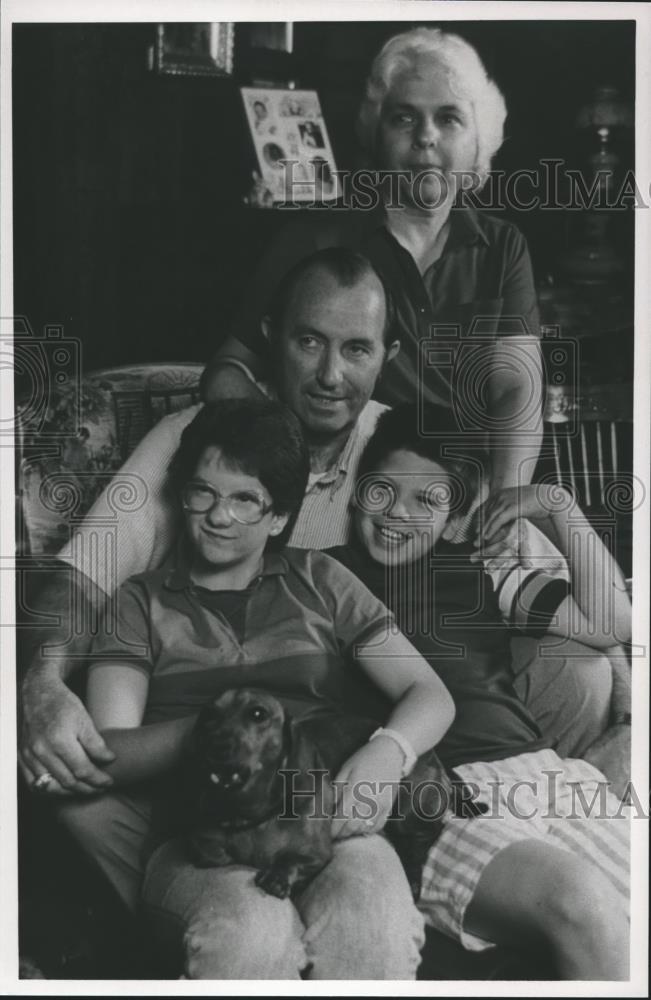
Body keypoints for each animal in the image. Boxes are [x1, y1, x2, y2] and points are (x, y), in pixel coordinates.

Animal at [185, 688, 484, 900]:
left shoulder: (316, 853)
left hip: (406, 813)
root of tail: (435, 758)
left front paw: (279, 876)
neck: (251, 813)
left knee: (427, 837)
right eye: (208, 717)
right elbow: (213, 853)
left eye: (258, 714)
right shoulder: (204, 841)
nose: (215, 747)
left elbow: (290, 859)